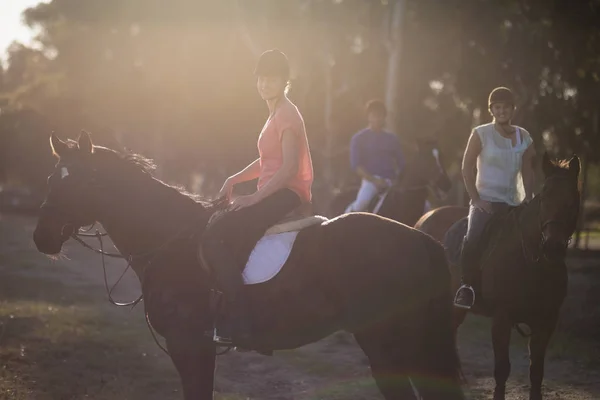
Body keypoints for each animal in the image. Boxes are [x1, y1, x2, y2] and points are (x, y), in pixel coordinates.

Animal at [31, 133, 464, 400]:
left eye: (80, 182)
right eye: (52, 178)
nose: (41, 237)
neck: (170, 240)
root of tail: (420, 238)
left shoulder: (191, 345)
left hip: (388, 345)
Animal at [414, 154, 580, 400]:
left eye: (573, 199)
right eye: (544, 196)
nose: (553, 247)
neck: (531, 262)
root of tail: (424, 218)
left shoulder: (546, 322)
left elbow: (536, 372)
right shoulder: (502, 318)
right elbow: (502, 369)